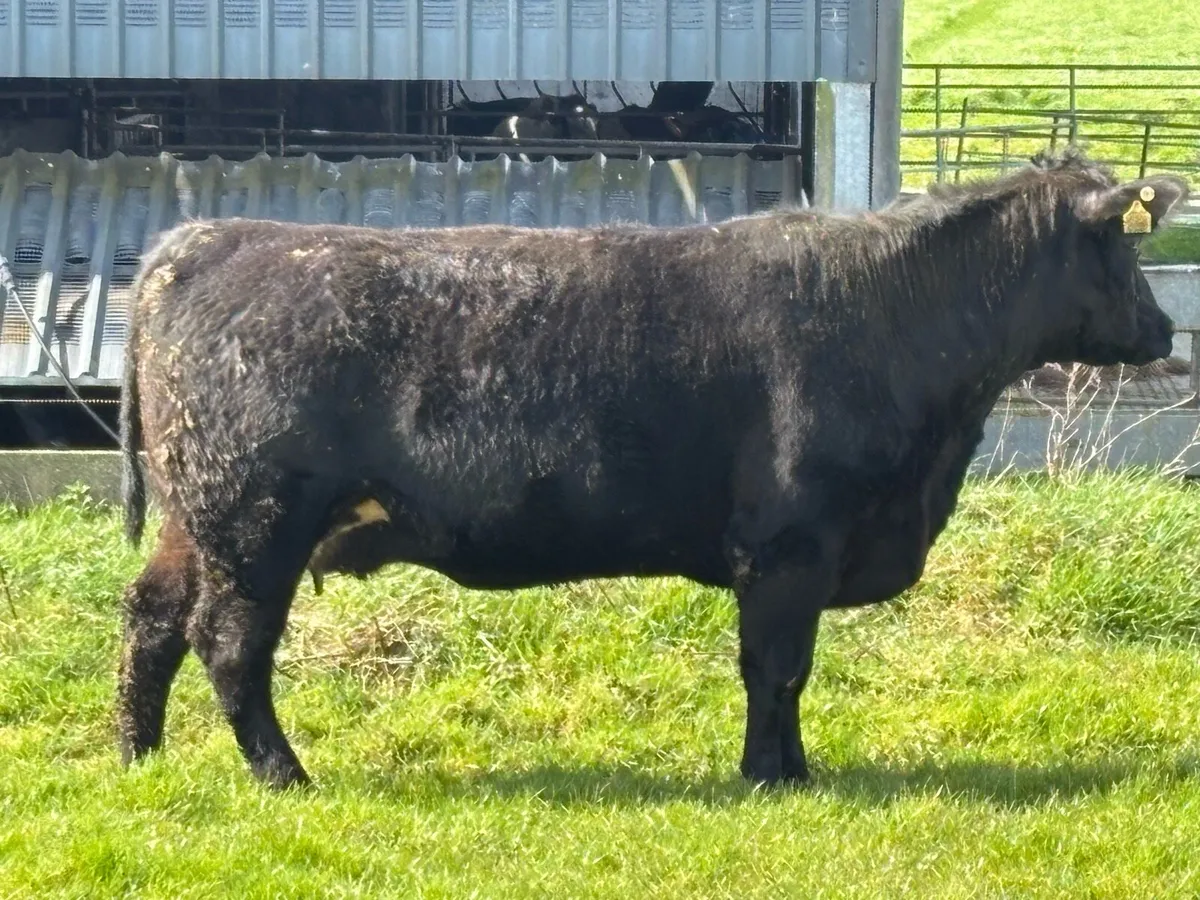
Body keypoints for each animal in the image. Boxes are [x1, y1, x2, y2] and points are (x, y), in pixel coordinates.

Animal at [115, 149, 1186, 791]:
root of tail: (208, 239)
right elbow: (777, 668)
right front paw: (771, 776)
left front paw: (796, 770)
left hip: (193, 519)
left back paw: (138, 754)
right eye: (1123, 249)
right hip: (257, 523)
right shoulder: (790, 549)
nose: (1168, 328)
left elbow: (784, 675)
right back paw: (283, 774)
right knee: (229, 645)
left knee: (151, 621)